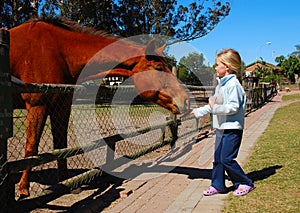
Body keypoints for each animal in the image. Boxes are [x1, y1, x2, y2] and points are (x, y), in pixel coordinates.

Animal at [8, 17, 190, 198]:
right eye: (159, 68)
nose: (186, 101)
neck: (58, 51)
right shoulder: (37, 105)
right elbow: (31, 148)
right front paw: (23, 189)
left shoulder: (61, 107)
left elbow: (61, 146)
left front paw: (66, 183)